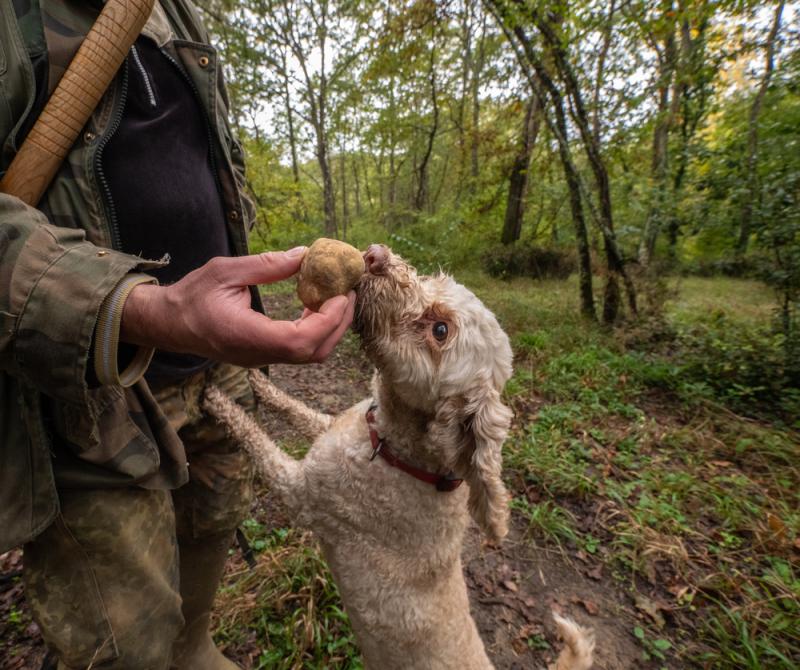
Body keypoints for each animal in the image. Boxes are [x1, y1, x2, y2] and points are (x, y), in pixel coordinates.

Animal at [205, 247, 592, 670]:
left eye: (440, 330)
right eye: (434, 279)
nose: (376, 256)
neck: (393, 451)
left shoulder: (302, 493)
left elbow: (254, 439)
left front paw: (215, 398)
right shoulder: (330, 427)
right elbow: (294, 408)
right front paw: (256, 380)